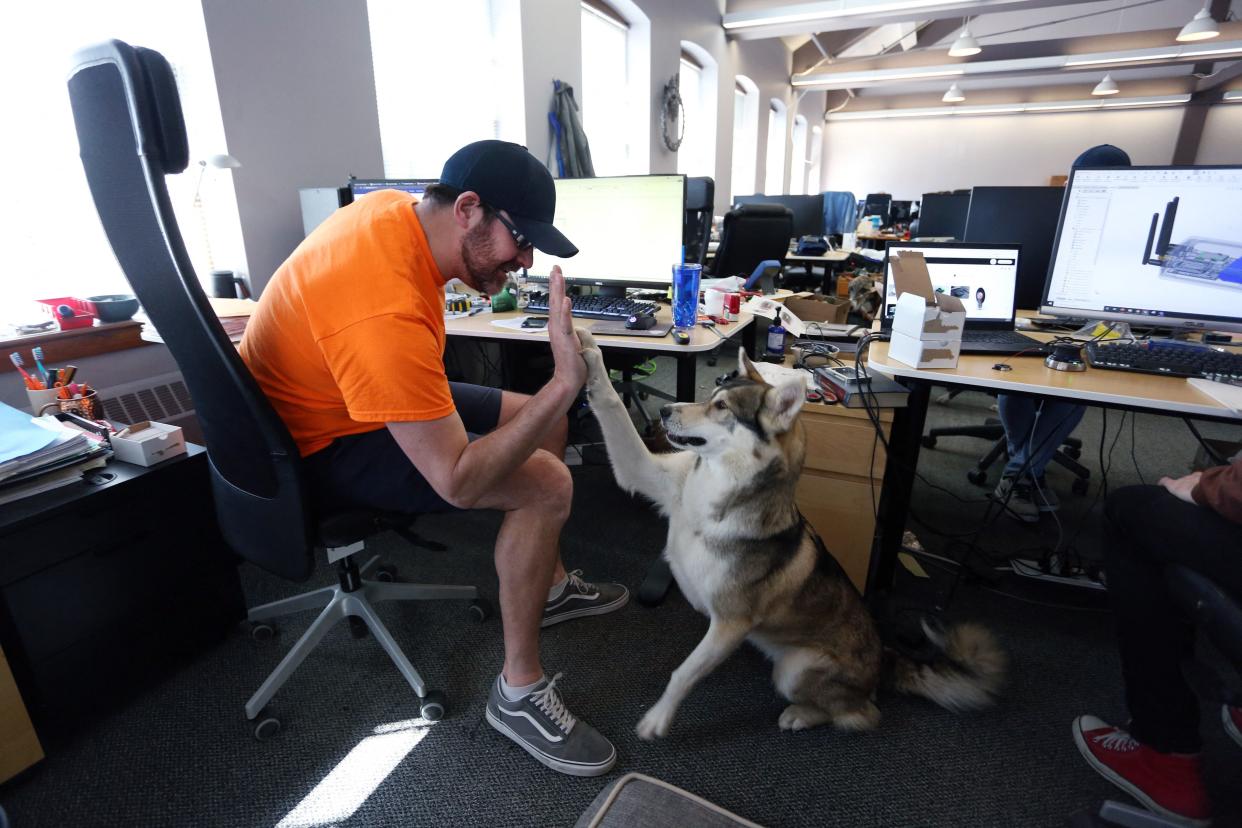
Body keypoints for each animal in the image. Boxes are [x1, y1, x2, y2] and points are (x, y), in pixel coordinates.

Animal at [581, 330, 1008, 739]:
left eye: (721, 408)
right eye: (712, 397)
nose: (665, 411)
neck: (717, 491)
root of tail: (884, 656)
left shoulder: (730, 625)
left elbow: (683, 674)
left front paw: (658, 719)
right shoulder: (644, 472)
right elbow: (612, 405)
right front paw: (587, 349)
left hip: (796, 669)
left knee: (861, 714)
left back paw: (801, 716)